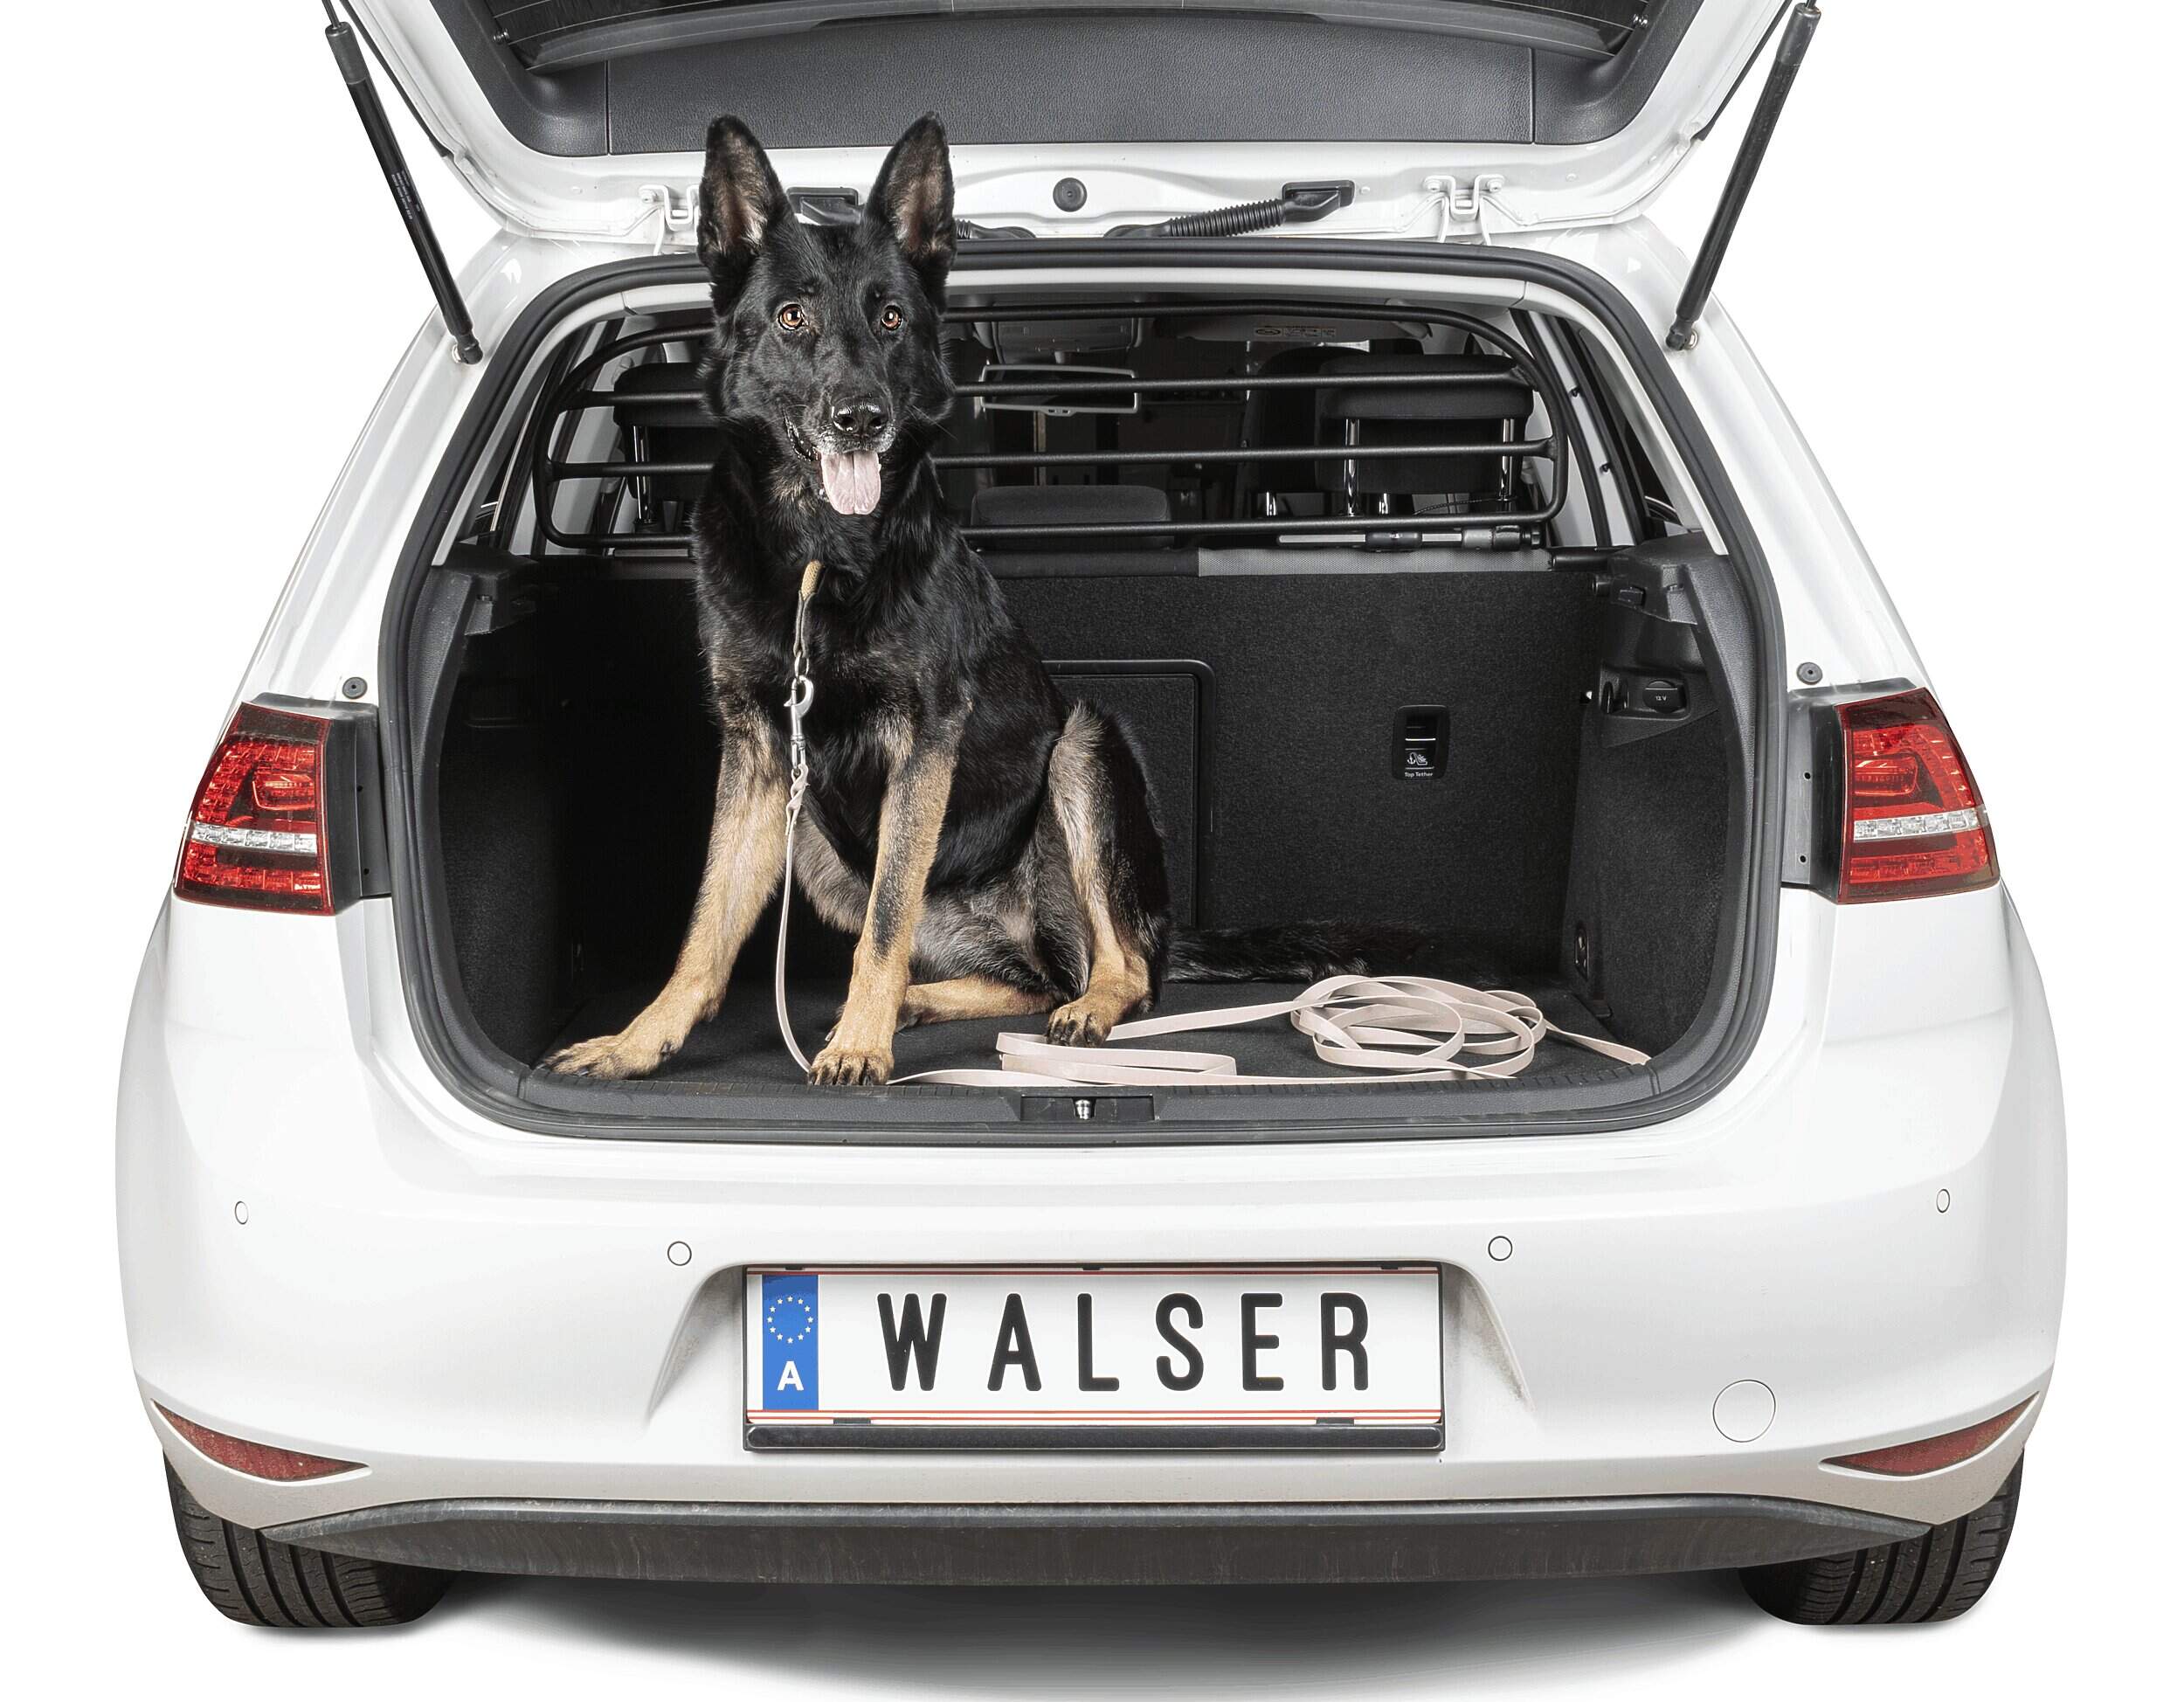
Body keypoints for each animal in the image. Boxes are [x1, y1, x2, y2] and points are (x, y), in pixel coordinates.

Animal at [548, 114, 1393, 1086]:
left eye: (889, 317)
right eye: (792, 317)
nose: (862, 418)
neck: (821, 550)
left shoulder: (924, 743)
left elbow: (884, 925)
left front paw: (858, 1043)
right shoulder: (759, 751)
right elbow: (706, 926)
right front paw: (640, 1040)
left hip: (1084, 748)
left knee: (1118, 968)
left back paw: (1078, 1008)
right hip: (820, 851)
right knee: (1030, 975)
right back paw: (927, 1000)